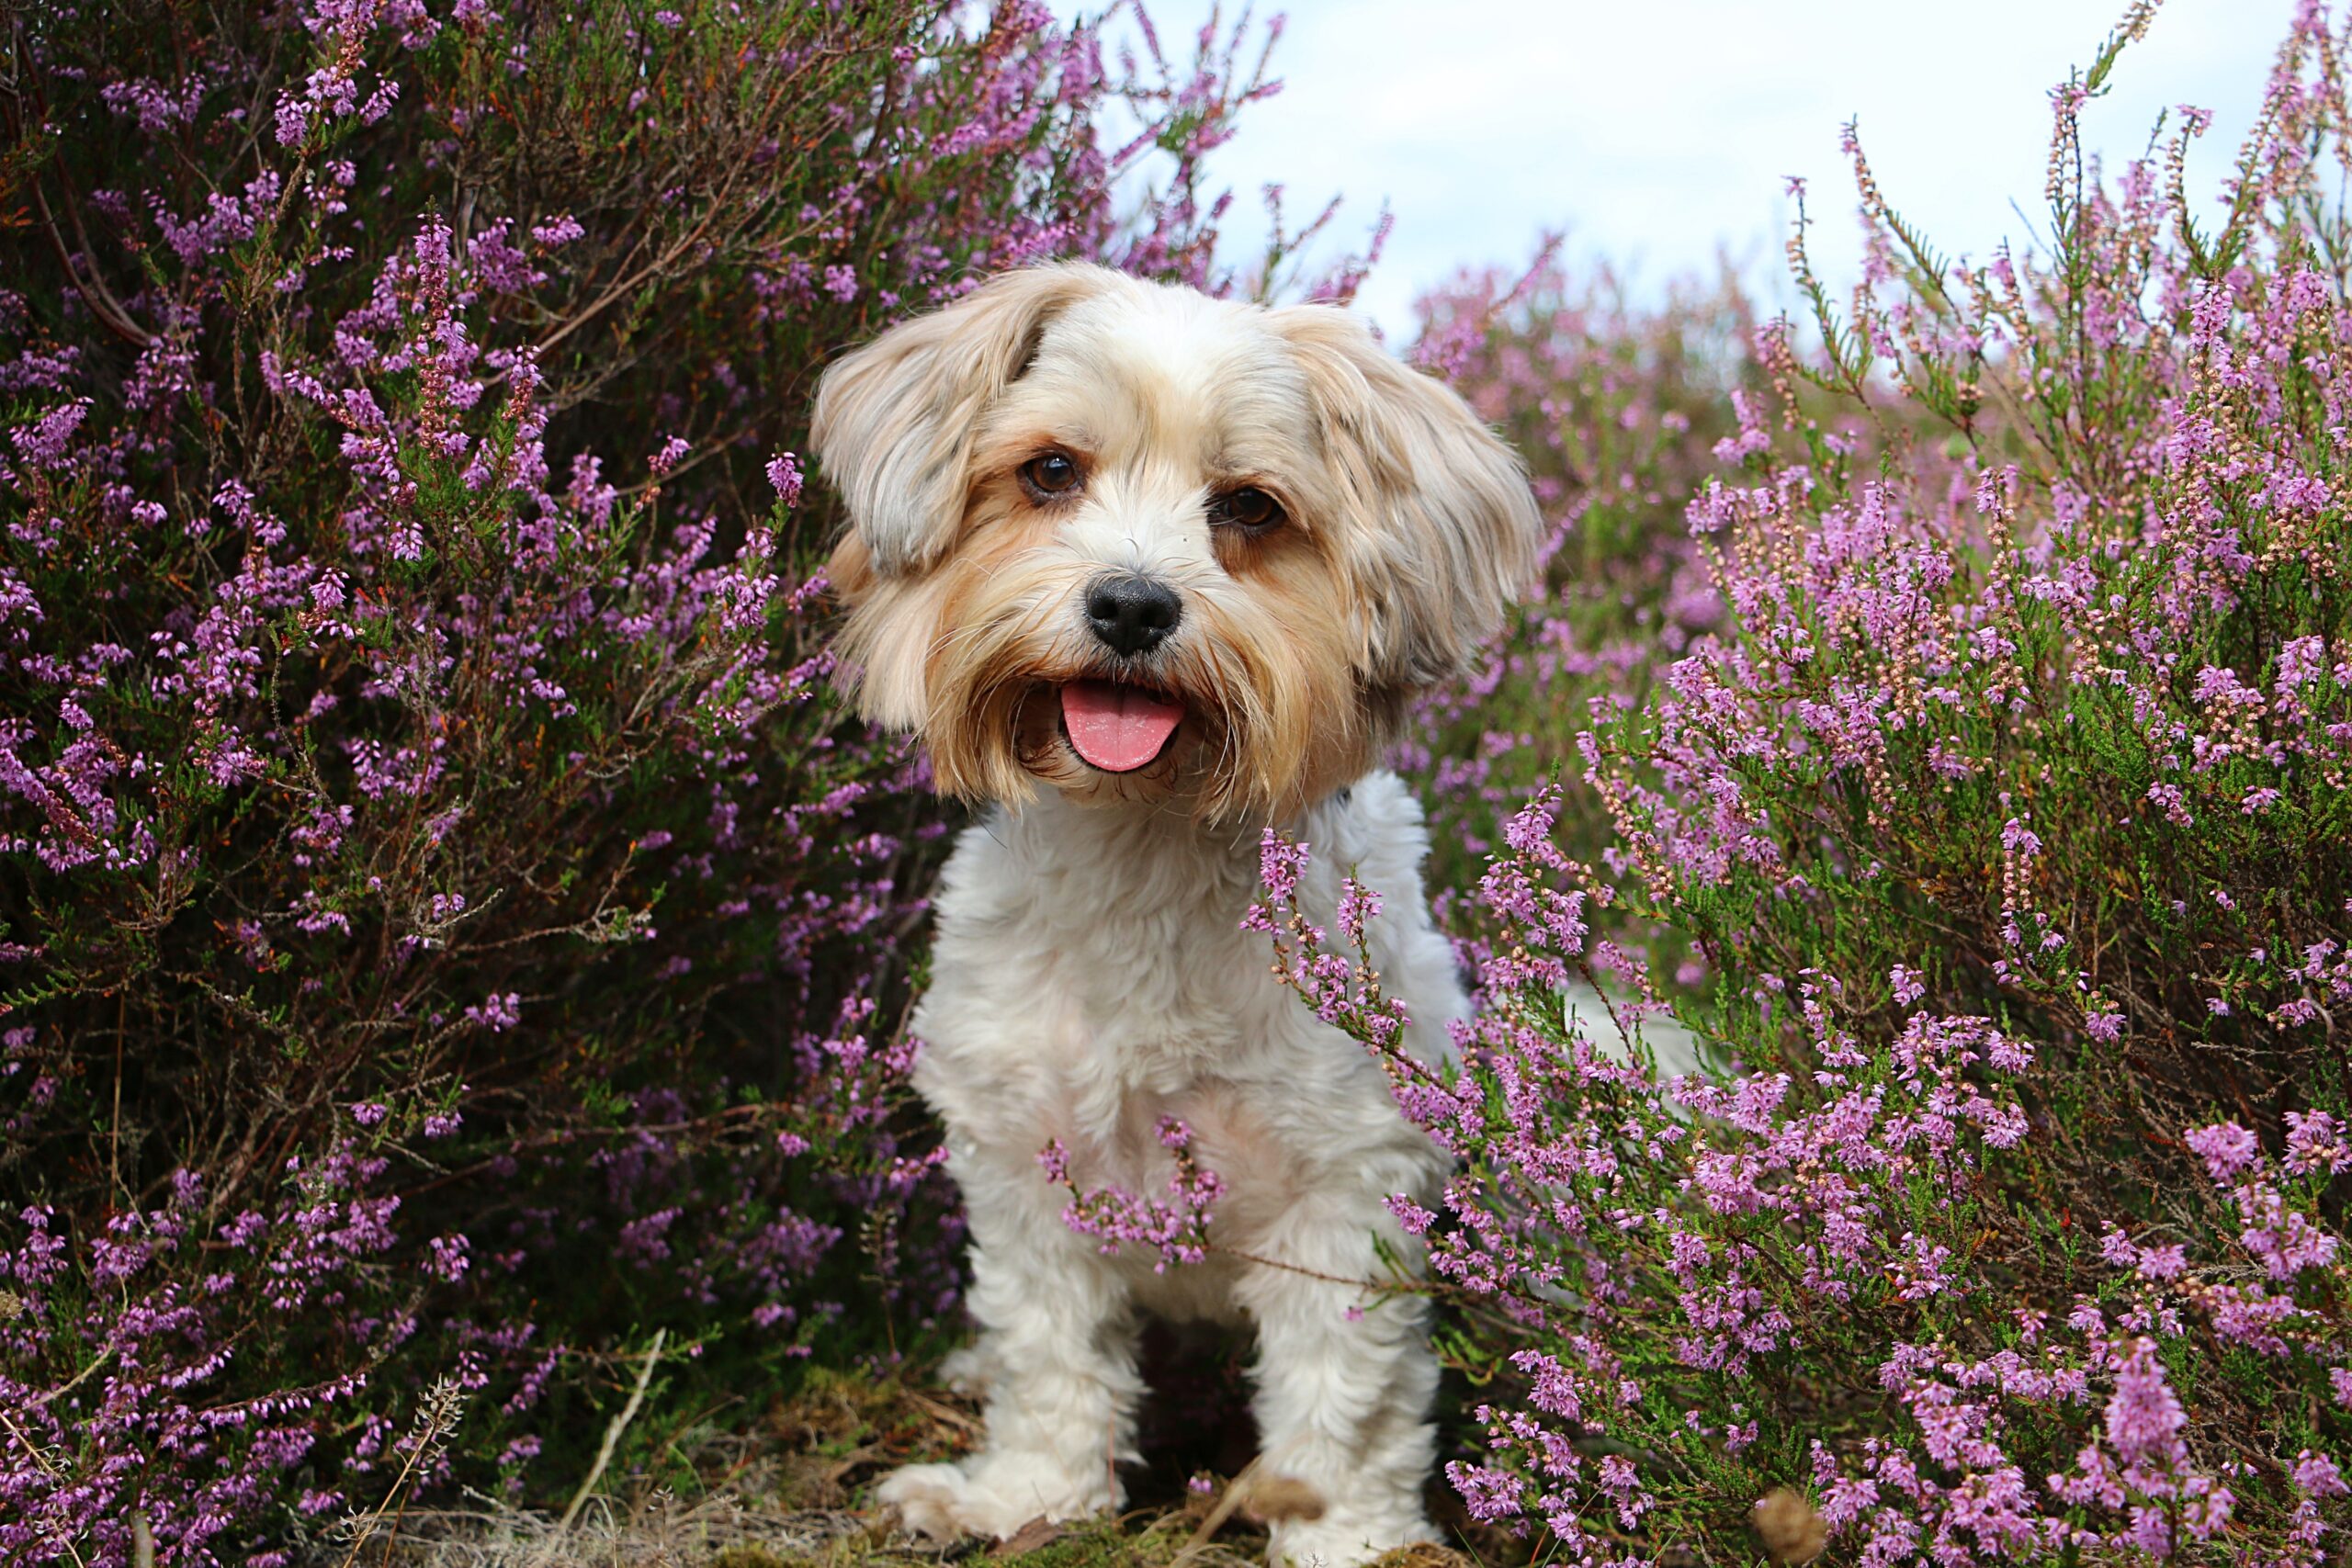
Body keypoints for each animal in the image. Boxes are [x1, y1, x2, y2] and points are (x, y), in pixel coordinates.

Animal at [808, 263, 1543, 1561]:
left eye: (1248, 506)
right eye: (1050, 470)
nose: (1133, 606)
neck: (1146, 839)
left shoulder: (1343, 1191)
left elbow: (1344, 1401)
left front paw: (1343, 1537)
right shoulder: (1023, 1163)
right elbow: (1050, 1350)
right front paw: (1025, 1498)